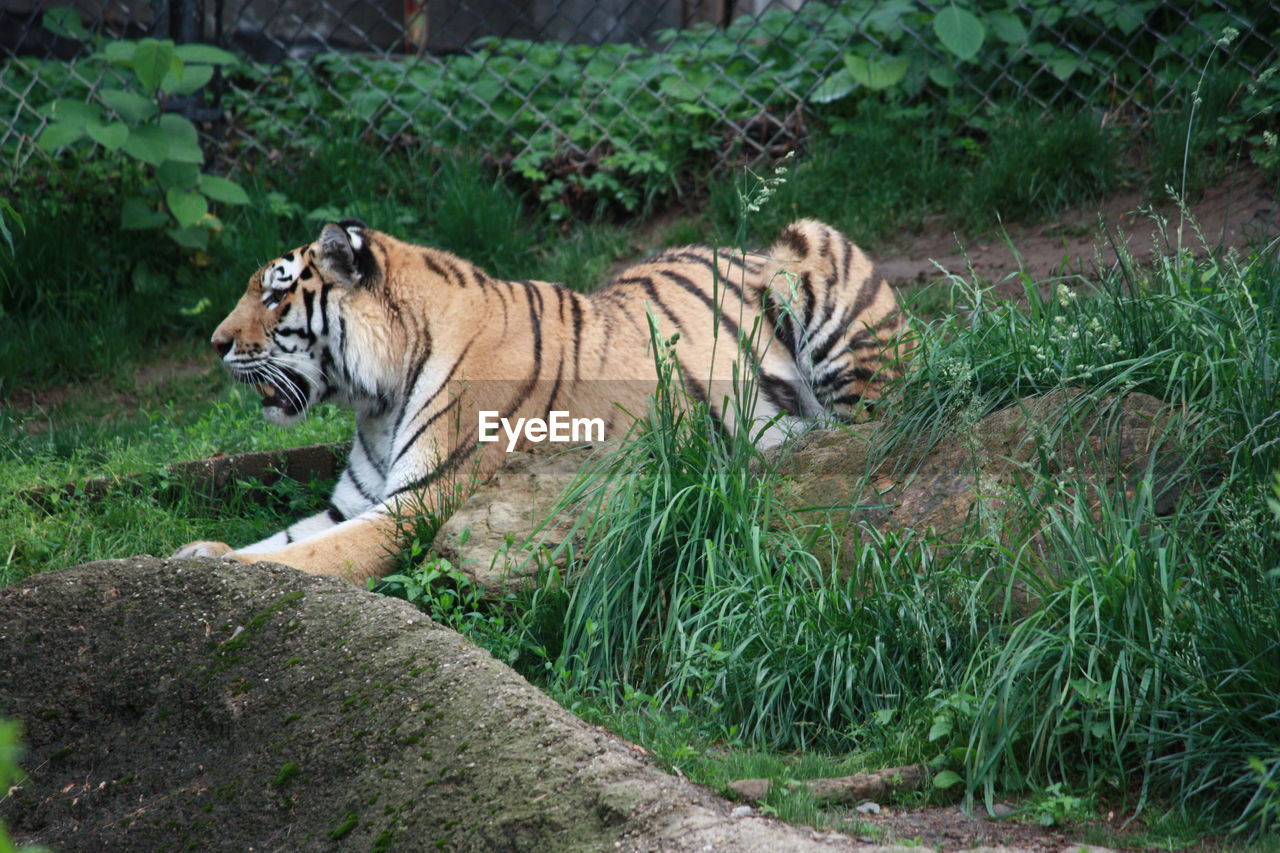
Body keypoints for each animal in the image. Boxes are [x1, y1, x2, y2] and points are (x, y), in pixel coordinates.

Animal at [175, 216, 911, 581]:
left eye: (275, 295)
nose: (213, 343)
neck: (375, 399)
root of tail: (740, 246)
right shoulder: (352, 502)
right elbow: (289, 535)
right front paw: (197, 554)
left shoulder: (417, 506)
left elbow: (309, 557)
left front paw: (226, 571)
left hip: (811, 251)